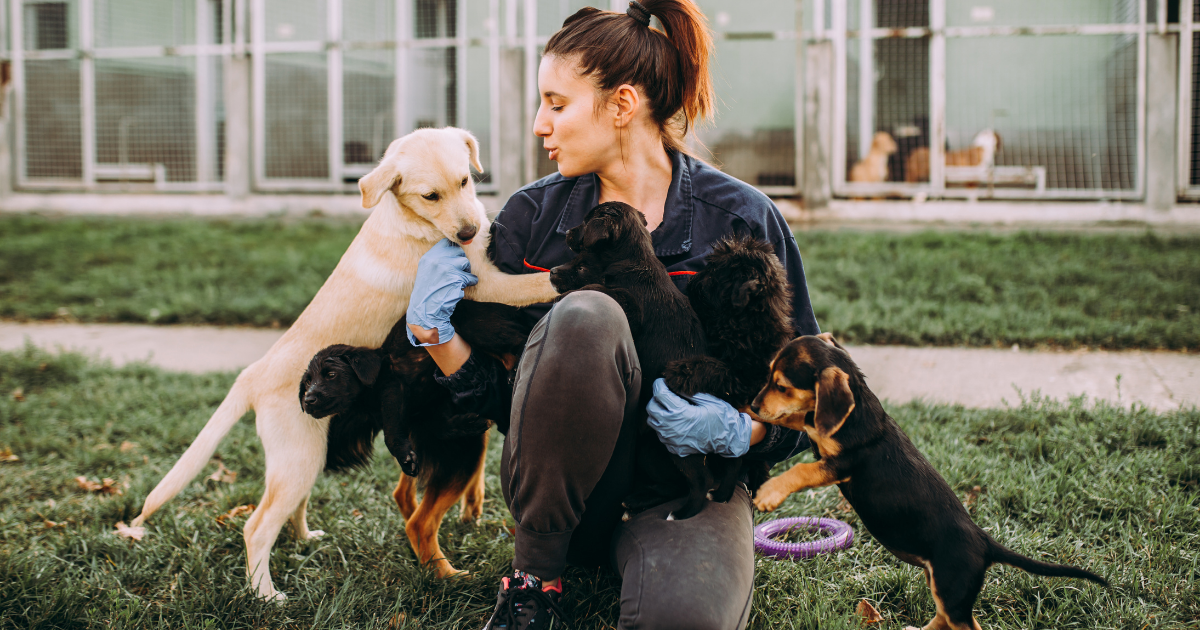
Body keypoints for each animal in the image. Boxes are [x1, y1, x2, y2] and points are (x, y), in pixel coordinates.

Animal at [129, 126, 559, 600]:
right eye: (430, 196)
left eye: (465, 181)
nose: (469, 232)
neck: (410, 222)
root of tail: (253, 375)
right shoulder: (484, 284)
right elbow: (534, 283)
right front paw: (573, 271)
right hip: (298, 456)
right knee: (257, 527)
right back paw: (267, 595)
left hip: (308, 455)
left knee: (290, 509)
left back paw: (304, 537)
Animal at [748, 333, 1104, 628]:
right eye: (769, 377)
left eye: (782, 386)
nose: (753, 403)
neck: (856, 412)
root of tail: (985, 542)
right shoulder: (816, 430)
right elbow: (798, 416)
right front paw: (747, 412)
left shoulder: (842, 462)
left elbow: (801, 469)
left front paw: (769, 492)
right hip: (945, 590)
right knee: (945, 620)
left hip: (951, 589)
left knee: (963, 624)